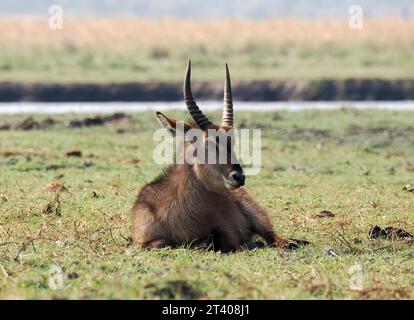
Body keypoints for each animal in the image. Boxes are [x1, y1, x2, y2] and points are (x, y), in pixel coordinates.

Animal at [131, 60, 308, 252]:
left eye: (233, 141)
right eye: (208, 142)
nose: (239, 177)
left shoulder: (228, 232)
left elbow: (221, 241)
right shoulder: (142, 241)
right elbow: (162, 242)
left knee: (272, 238)